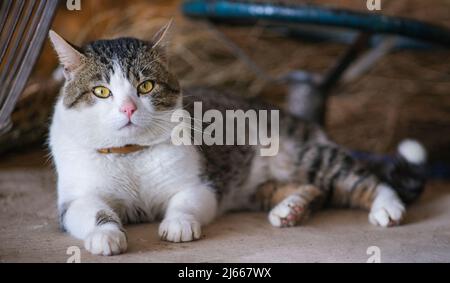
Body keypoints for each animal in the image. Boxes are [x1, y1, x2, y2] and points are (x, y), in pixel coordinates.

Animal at [47, 23, 428, 256]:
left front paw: (178, 224)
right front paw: (106, 235)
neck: (131, 154)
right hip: (261, 187)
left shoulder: (203, 184)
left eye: (146, 86)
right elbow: (95, 211)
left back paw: (388, 207)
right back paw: (291, 209)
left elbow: (185, 202)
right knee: (314, 189)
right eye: (101, 91)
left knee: (363, 179)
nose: (127, 108)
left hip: (307, 156)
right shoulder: (74, 200)